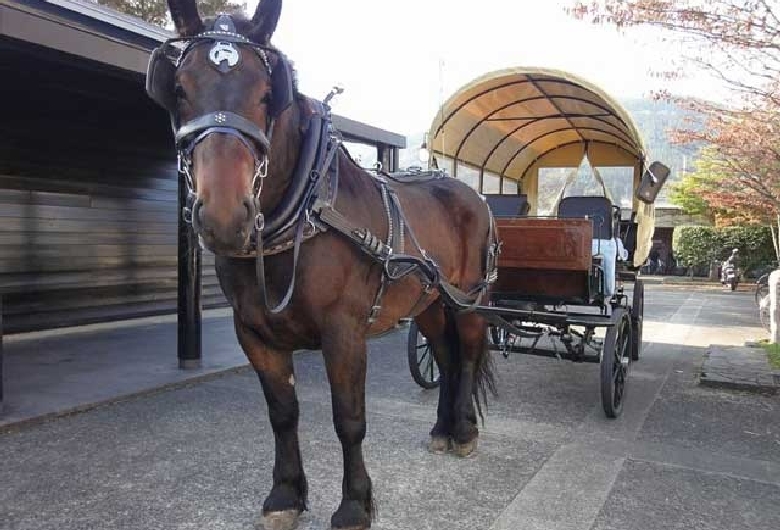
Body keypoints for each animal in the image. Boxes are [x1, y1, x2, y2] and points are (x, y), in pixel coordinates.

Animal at [148, 2, 499, 529]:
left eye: (268, 93)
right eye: (181, 89)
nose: (225, 217)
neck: (303, 212)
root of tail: (468, 191)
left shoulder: (344, 332)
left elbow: (348, 419)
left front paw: (355, 503)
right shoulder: (254, 334)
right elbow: (283, 414)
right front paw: (286, 494)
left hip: (468, 299)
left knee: (469, 354)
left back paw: (464, 432)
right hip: (428, 302)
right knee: (445, 356)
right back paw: (441, 429)